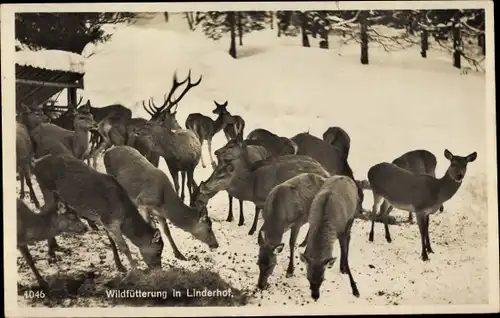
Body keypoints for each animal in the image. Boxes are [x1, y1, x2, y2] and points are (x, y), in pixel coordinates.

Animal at [191, 140, 328, 235]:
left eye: (221, 175)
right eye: (215, 172)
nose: (205, 186)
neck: (251, 187)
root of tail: (326, 173)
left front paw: (252, 230)